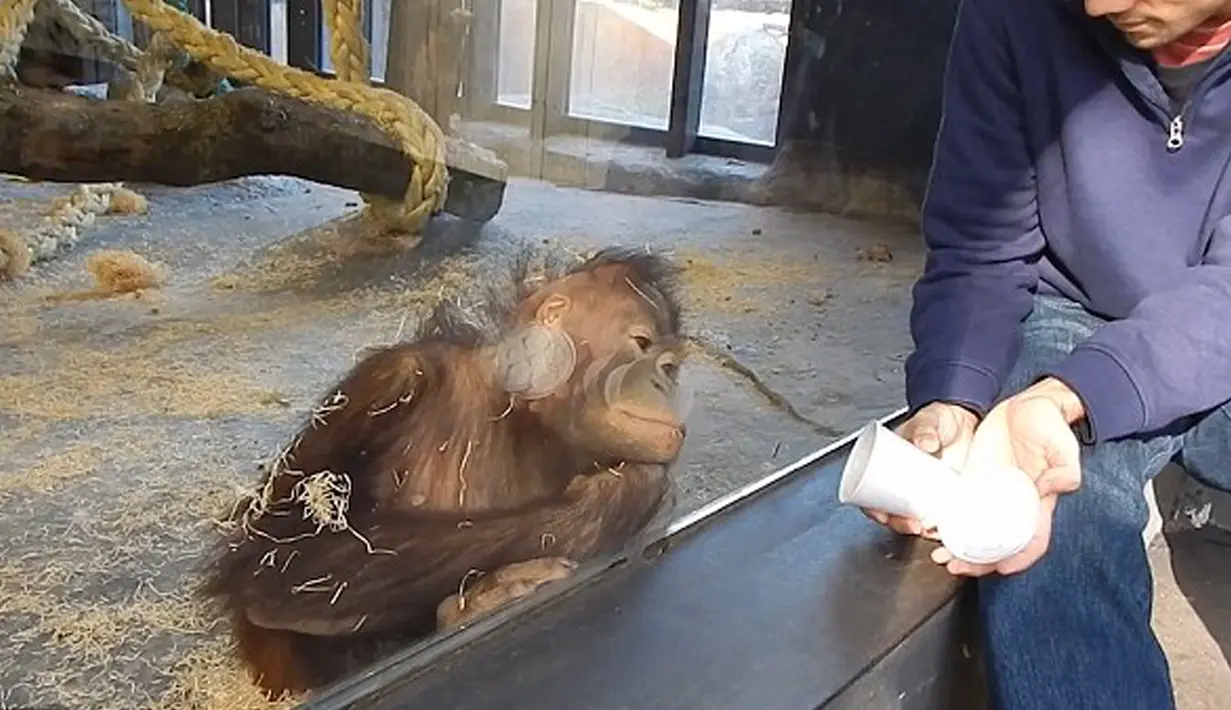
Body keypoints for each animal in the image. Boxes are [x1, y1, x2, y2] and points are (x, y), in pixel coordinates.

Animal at [198, 246, 691, 698]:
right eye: (642, 344)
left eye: (672, 366)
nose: (664, 379)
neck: (516, 411)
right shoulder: (386, 382)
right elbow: (279, 555)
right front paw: (622, 493)